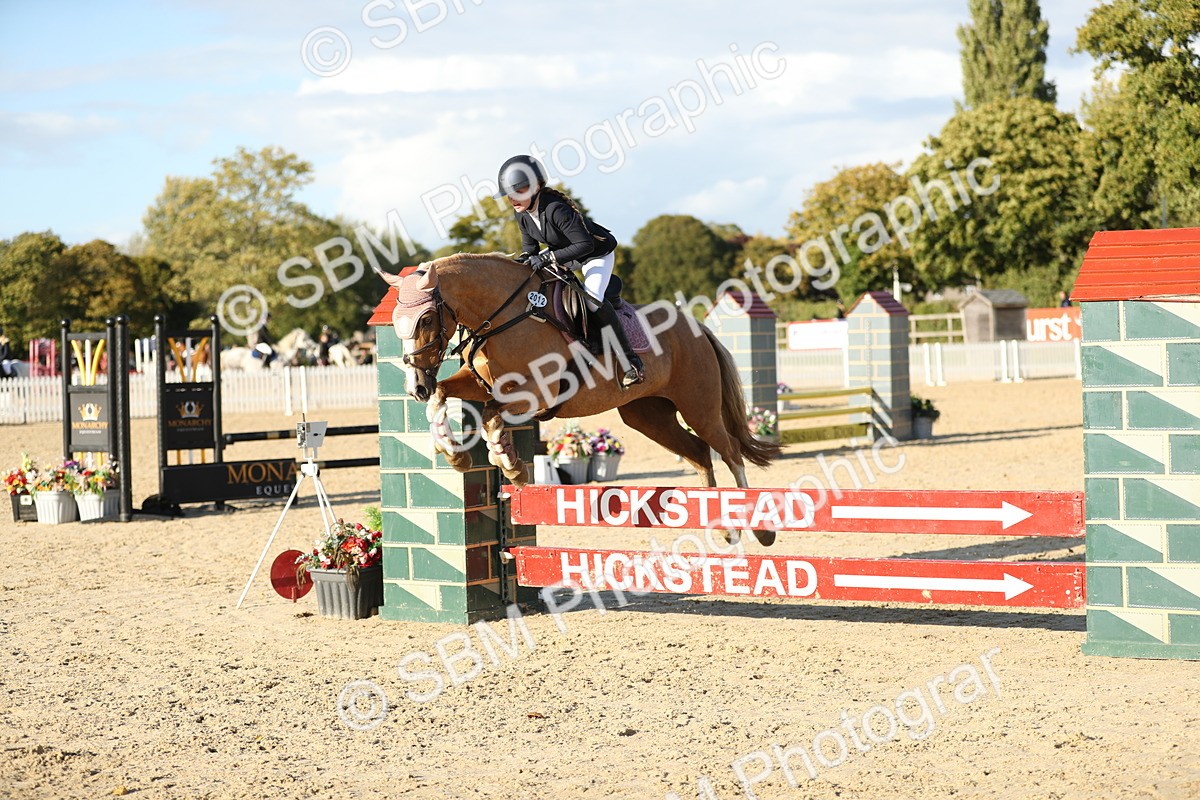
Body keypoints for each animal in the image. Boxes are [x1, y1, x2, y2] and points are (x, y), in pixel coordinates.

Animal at [382, 253, 781, 545]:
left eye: (427, 319)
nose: (415, 387)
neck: (504, 317)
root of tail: (697, 328)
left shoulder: (536, 392)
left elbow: (493, 416)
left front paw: (511, 465)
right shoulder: (479, 384)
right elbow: (446, 398)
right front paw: (455, 454)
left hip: (699, 407)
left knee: (729, 452)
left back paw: (760, 530)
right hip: (648, 416)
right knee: (699, 453)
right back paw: (723, 529)